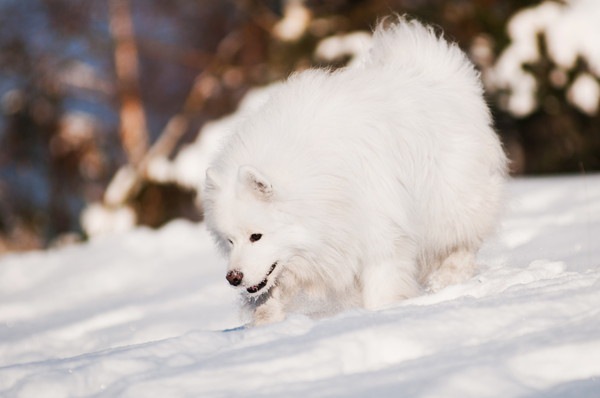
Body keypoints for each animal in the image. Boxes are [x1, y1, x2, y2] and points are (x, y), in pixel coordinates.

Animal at [202, 16, 506, 326]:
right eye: (229, 240)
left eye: (256, 236)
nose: (233, 278)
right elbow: (274, 295)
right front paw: (265, 323)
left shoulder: (380, 235)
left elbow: (381, 289)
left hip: (448, 201)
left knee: (463, 240)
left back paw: (447, 279)